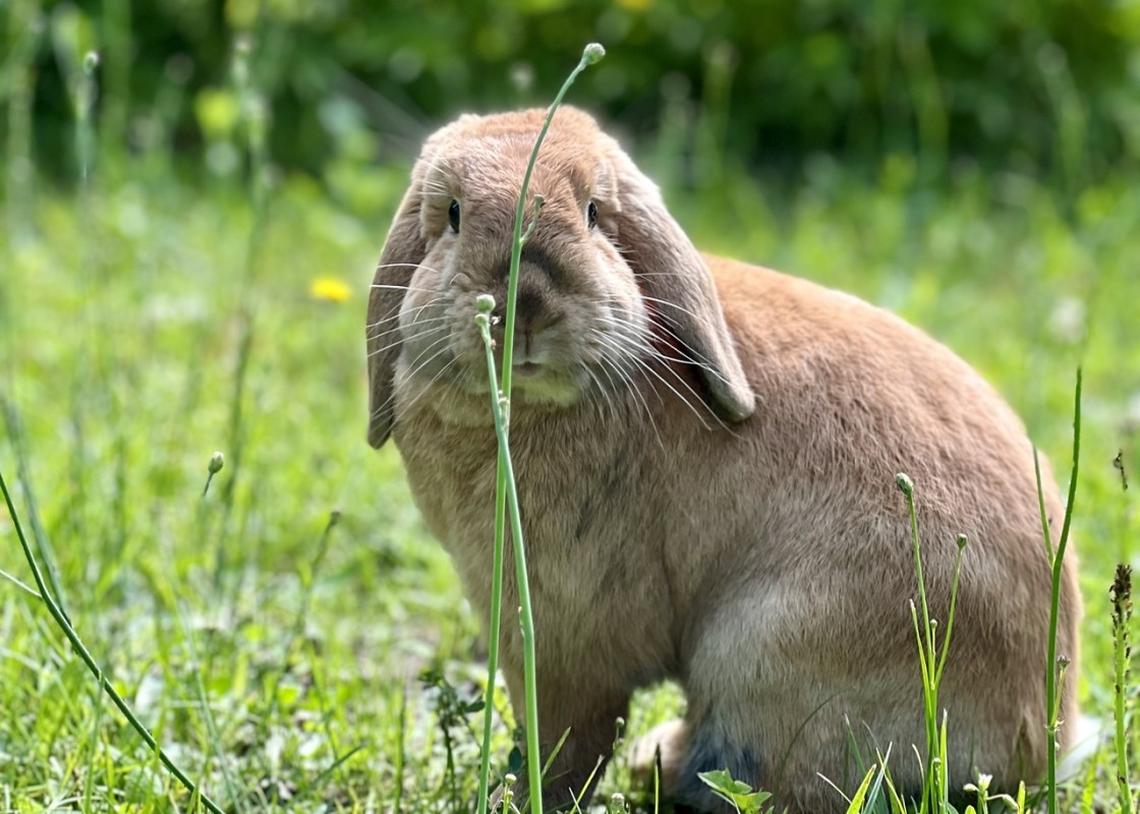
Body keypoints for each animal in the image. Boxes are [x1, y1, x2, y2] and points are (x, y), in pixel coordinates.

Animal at [364, 106, 1081, 813]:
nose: (525, 306)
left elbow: (566, 740)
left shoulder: (563, 636)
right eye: (453, 215)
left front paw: (515, 796)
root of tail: (1041, 738)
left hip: (763, 656)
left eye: (594, 213)